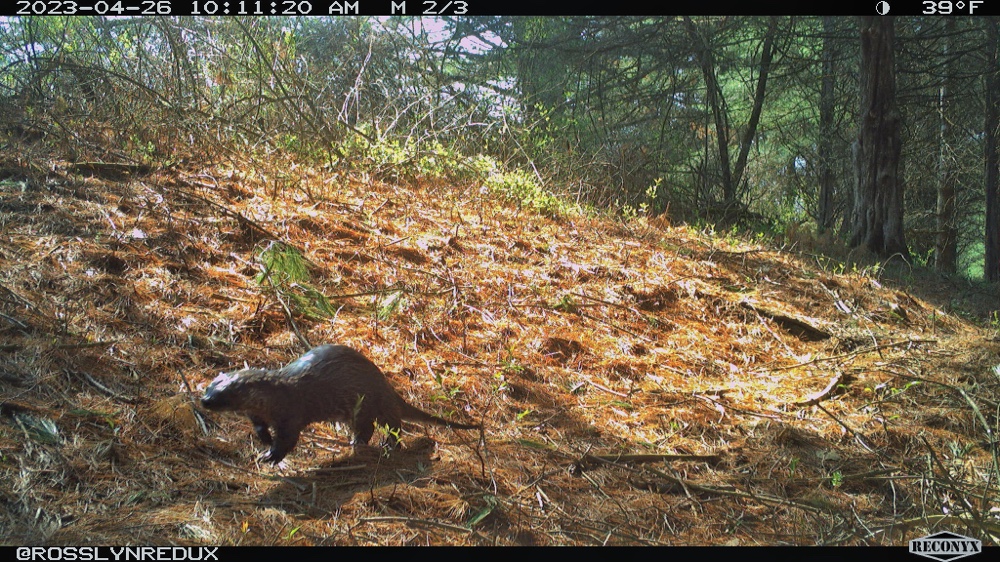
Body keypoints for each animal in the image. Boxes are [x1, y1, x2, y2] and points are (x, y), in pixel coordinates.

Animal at [200, 344, 480, 462]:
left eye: (223, 394)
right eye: (209, 386)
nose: (204, 400)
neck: (275, 396)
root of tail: (387, 386)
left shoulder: (291, 414)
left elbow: (288, 439)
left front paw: (270, 455)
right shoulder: (257, 414)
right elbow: (259, 426)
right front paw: (264, 438)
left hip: (372, 404)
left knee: (390, 426)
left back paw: (379, 445)